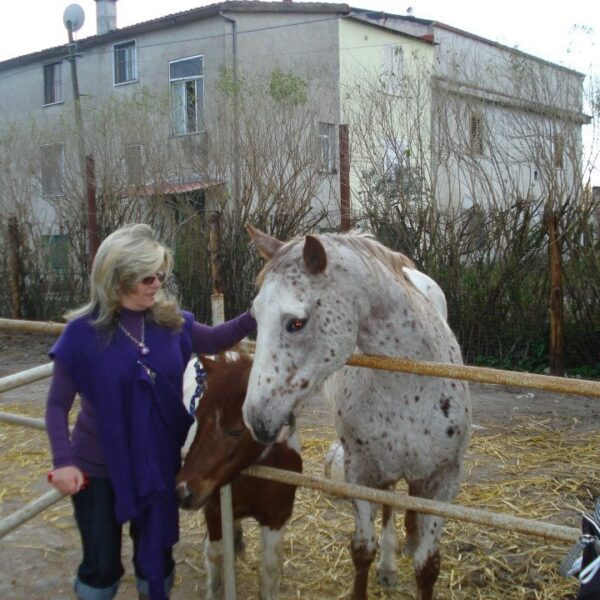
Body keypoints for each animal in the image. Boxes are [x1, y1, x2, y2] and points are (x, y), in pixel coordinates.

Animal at [241, 226, 472, 600]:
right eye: (255, 317)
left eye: (297, 322)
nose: (257, 418)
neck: (410, 389)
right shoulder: (360, 474)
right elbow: (363, 550)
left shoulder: (443, 482)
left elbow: (428, 566)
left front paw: (417, 547)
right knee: (390, 505)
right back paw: (390, 566)